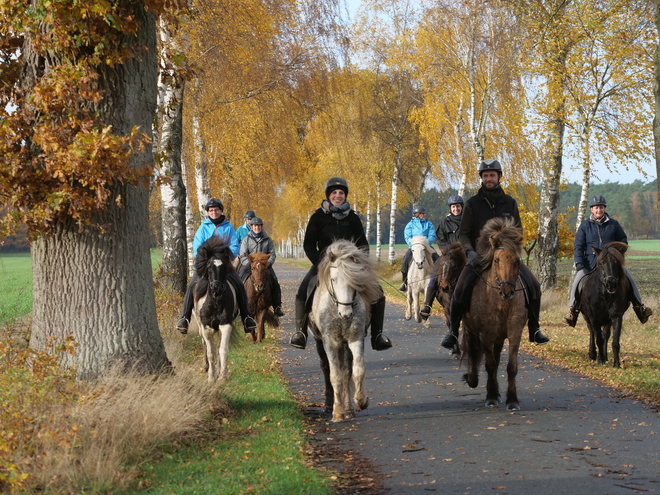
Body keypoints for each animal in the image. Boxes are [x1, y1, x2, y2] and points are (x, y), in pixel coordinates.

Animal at [192, 236, 238, 384]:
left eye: (224, 267)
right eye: (208, 267)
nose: (217, 289)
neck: (215, 303)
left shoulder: (226, 325)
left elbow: (222, 350)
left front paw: (222, 375)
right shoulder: (206, 327)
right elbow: (210, 352)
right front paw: (211, 377)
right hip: (200, 326)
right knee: (205, 345)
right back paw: (206, 367)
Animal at [310, 240, 382, 422]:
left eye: (354, 280)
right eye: (333, 280)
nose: (346, 314)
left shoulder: (355, 339)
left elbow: (356, 370)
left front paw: (361, 401)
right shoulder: (330, 342)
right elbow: (334, 376)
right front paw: (337, 413)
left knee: (346, 371)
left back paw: (348, 409)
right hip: (320, 342)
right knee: (327, 369)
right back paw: (330, 406)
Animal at [462, 219, 528, 412]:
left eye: (516, 261)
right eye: (496, 260)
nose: (507, 291)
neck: (502, 304)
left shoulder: (514, 332)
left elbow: (511, 366)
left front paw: (512, 400)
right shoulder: (485, 334)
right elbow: (489, 365)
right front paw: (491, 397)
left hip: (499, 336)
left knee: (496, 357)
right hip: (471, 329)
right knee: (471, 350)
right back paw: (472, 379)